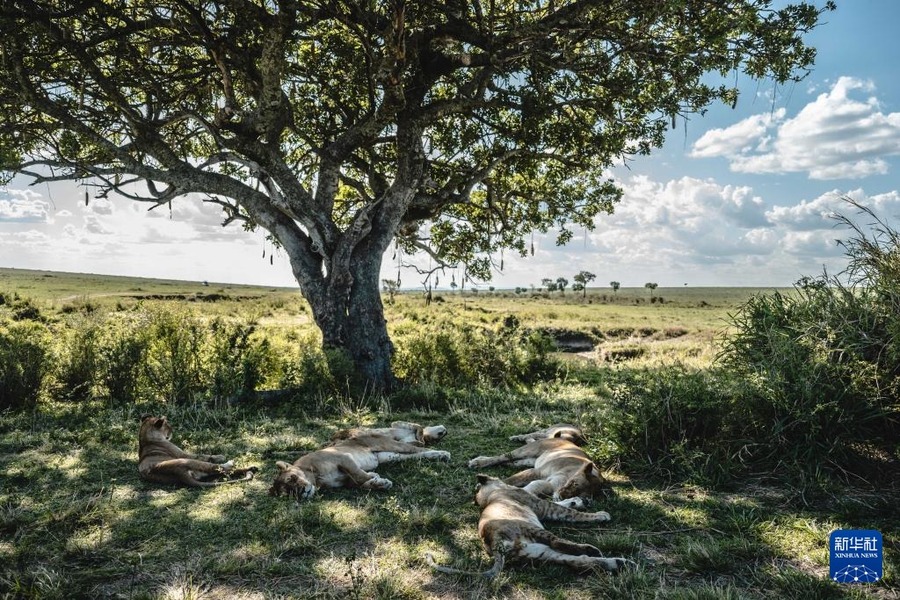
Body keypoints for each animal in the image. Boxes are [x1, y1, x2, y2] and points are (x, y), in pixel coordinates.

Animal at [268, 420, 450, 500]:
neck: (316, 479)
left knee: (418, 443)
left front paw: (374, 478)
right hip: (388, 456)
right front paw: (378, 482)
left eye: (292, 478)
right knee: (417, 452)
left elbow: (358, 474)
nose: (301, 491)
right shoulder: (346, 481)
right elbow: (360, 483)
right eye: (288, 492)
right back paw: (437, 454)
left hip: (386, 442)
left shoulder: (343, 458)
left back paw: (442, 449)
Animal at [426, 476, 624, 580]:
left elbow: (559, 501)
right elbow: (568, 511)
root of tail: (495, 543)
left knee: (577, 561)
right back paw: (594, 550)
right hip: (532, 528)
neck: (490, 496)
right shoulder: (544, 507)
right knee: (560, 543)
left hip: (538, 552)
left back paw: (619, 563)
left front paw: (578, 500)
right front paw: (600, 514)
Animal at [468, 424, 608, 504]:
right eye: (575, 484)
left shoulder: (549, 484)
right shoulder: (538, 471)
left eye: (581, 495)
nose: (562, 496)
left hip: (531, 459)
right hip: (528, 450)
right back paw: (478, 462)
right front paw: (480, 485)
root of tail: (561, 438)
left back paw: (510, 464)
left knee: (515, 461)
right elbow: (511, 480)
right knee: (503, 456)